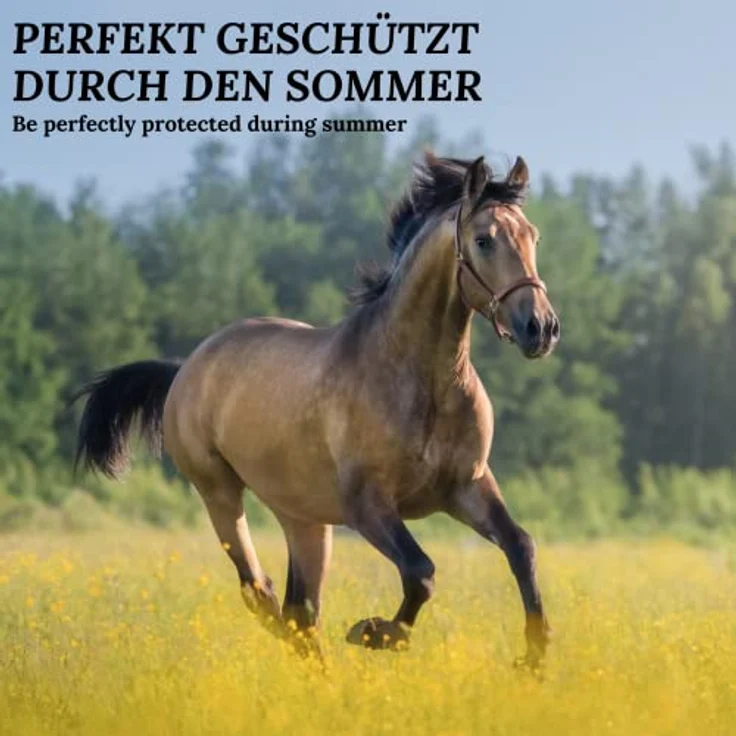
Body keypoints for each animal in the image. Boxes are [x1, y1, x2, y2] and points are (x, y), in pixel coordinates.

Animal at [74, 152, 560, 668]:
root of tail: (185, 368)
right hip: (219, 493)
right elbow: (420, 571)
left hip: (304, 519)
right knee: (261, 592)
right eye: (483, 240)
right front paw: (375, 632)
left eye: (533, 236)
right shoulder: (368, 505)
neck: (424, 381)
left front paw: (534, 656)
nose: (541, 328)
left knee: (300, 610)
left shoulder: (468, 486)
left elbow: (521, 547)